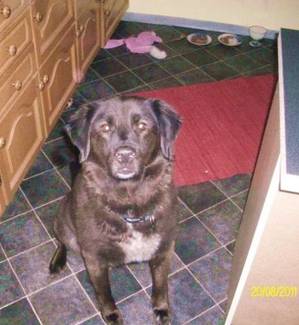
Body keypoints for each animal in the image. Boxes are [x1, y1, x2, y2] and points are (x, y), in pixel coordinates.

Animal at [49, 95, 182, 322]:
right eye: (104, 127)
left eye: (142, 125)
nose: (125, 155)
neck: (129, 204)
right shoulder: (93, 258)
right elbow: (104, 292)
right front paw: (111, 315)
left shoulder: (164, 248)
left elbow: (160, 284)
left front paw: (161, 308)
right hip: (63, 221)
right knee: (62, 241)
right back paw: (57, 261)